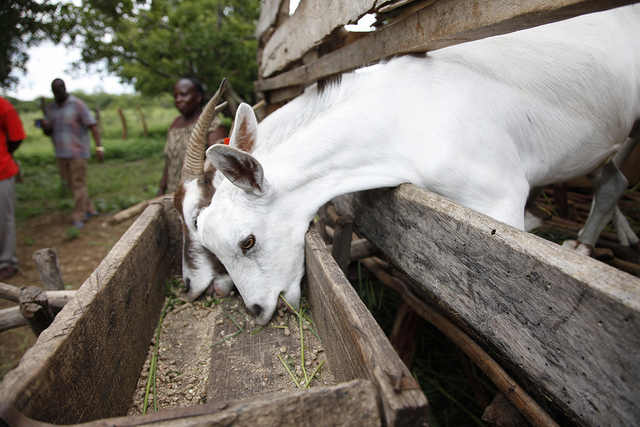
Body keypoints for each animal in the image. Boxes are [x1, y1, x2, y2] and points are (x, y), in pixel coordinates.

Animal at [200, 5, 640, 324]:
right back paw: (584, 245)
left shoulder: (500, 198)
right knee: (613, 181)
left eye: (247, 241)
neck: (406, 117)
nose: (257, 311)